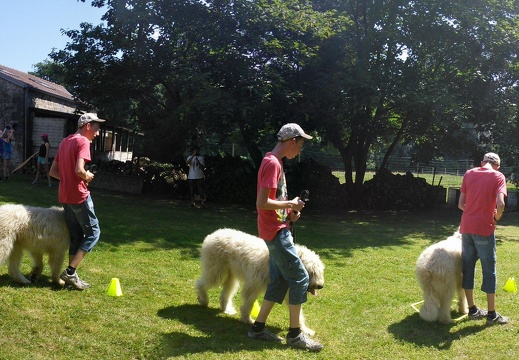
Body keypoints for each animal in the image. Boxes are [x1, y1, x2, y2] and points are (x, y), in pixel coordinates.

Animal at [195, 228, 324, 334]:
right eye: (311, 272)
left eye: (319, 271)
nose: (320, 286)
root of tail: (213, 234)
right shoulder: (253, 285)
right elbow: (249, 302)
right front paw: (247, 319)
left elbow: (297, 311)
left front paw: (304, 329)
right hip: (217, 271)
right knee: (201, 284)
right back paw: (203, 300)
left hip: (230, 276)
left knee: (226, 292)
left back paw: (226, 309)